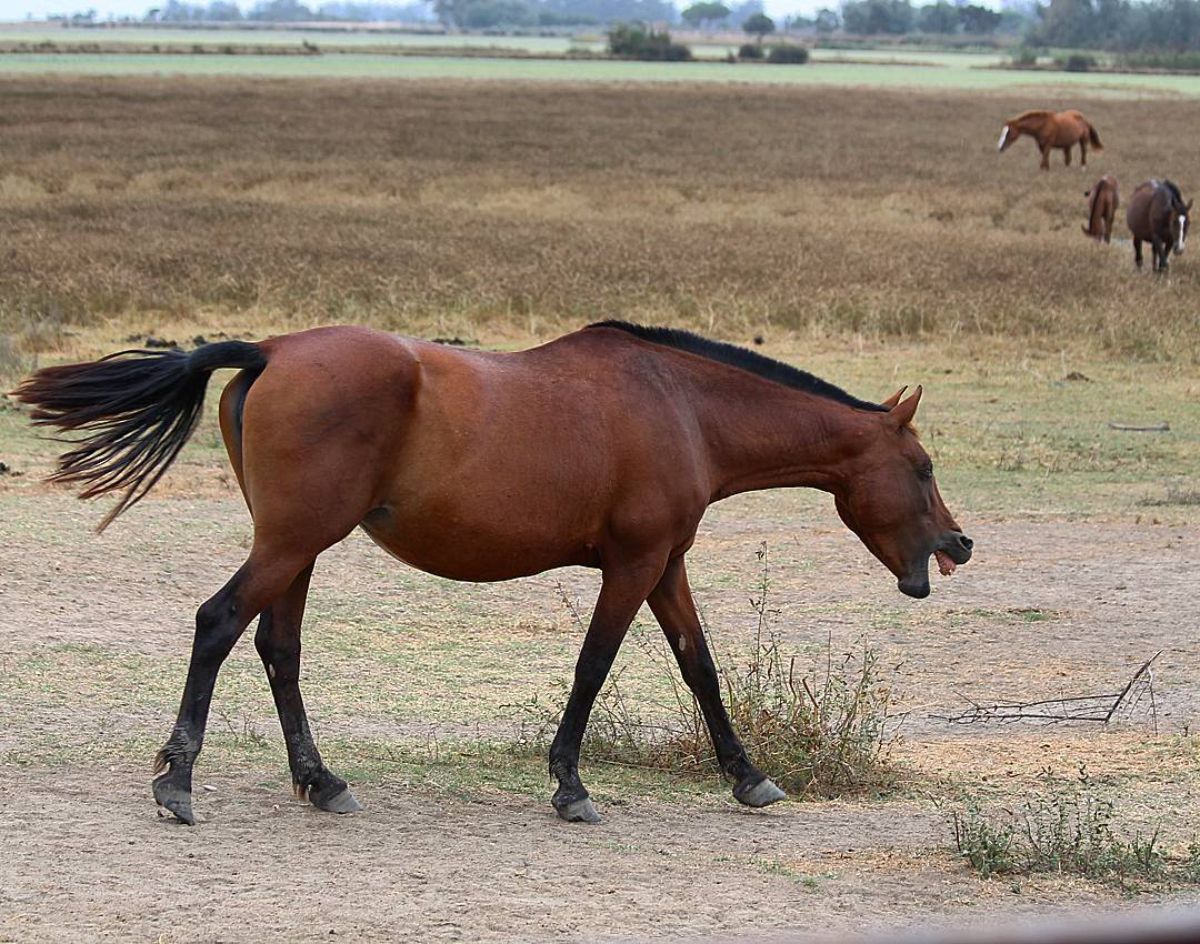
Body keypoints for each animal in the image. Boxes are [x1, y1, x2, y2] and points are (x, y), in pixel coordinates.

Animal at [14, 323, 969, 825]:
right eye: (922, 468)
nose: (957, 547)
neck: (683, 409)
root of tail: (272, 350)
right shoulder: (632, 566)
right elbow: (594, 667)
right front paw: (571, 785)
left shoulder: (666, 566)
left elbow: (701, 669)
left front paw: (747, 776)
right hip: (290, 543)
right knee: (219, 624)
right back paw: (176, 782)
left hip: (298, 548)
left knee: (279, 649)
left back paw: (321, 781)